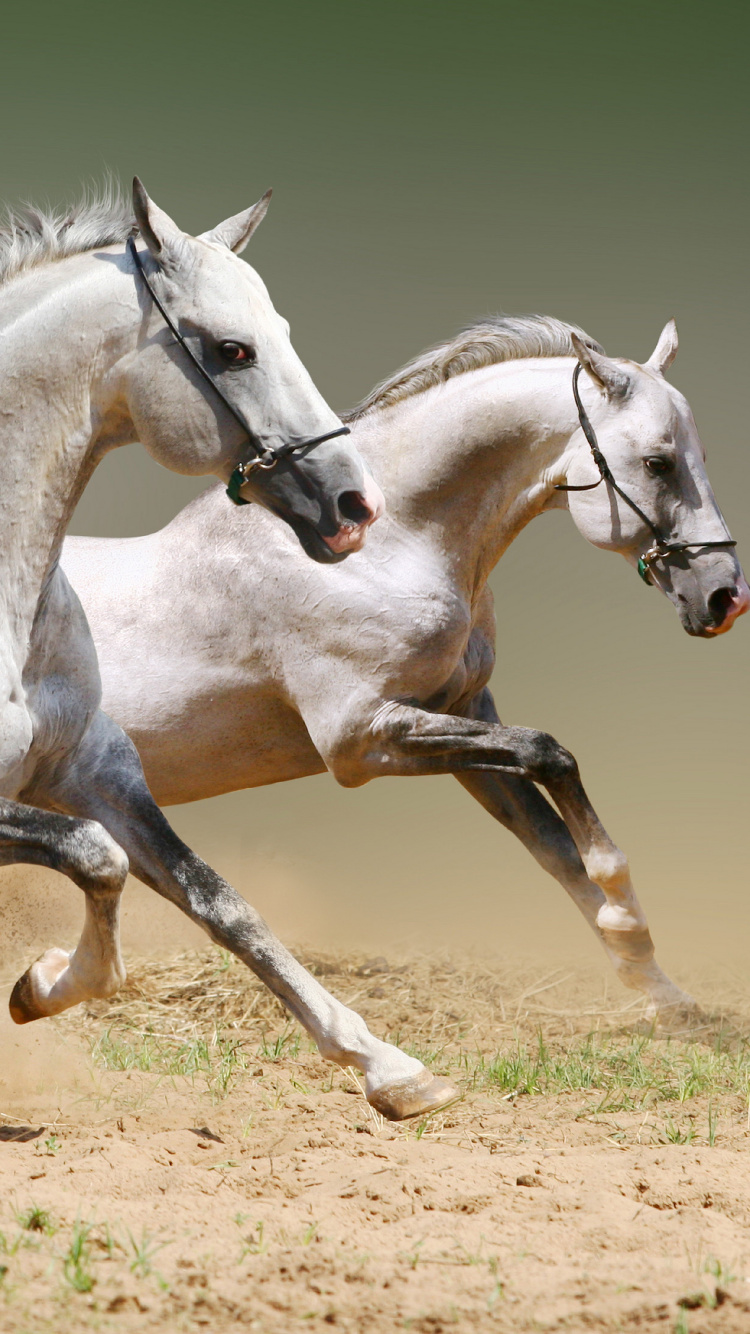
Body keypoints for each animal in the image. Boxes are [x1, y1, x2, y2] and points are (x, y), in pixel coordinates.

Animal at [0, 180, 453, 1126]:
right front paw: (51, 980)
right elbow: (96, 859)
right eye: (232, 350)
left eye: (280, 330)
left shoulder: (93, 769)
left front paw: (391, 1069)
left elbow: (217, 900)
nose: (356, 505)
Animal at [62, 314, 748, 1102]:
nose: (725, 597)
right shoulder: (365, 741)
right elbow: (553, 755)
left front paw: (661, 990)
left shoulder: (465, 718)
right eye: (660, 463)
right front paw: (622, 905)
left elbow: (551, 842)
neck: (387, 548)